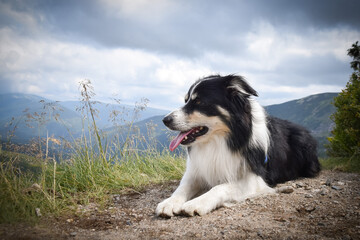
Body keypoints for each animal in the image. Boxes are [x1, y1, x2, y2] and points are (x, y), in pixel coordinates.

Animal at [156, 74, 320, 218]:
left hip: (302, 142)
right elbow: (183, 186)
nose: (165, 120)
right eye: (186, 100)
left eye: (199, 102)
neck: (220, 141)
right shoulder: (198, 169)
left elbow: (221, 187)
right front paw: (169, 202)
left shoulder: (254, 178)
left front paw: (197, 203)